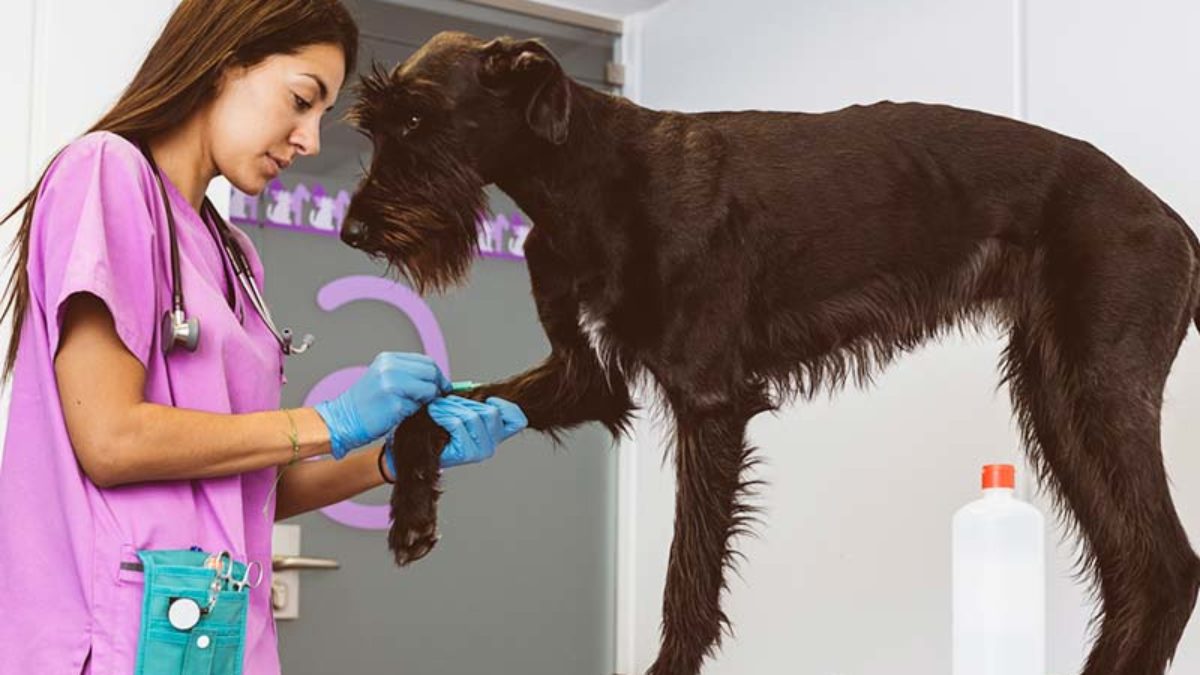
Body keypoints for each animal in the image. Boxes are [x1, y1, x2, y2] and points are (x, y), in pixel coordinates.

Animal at [338, 28, 1200, 667]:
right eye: (375, 125)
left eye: (415, 117)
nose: (353, 231)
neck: (588, 175)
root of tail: (1169, 218)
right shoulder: (583, 376)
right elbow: (429, 410)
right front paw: (410, 508)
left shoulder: (707, 400)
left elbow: (687, 578)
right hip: (1057, 397)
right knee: (1134, 568)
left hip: (1099, 387)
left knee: (1166, 565)